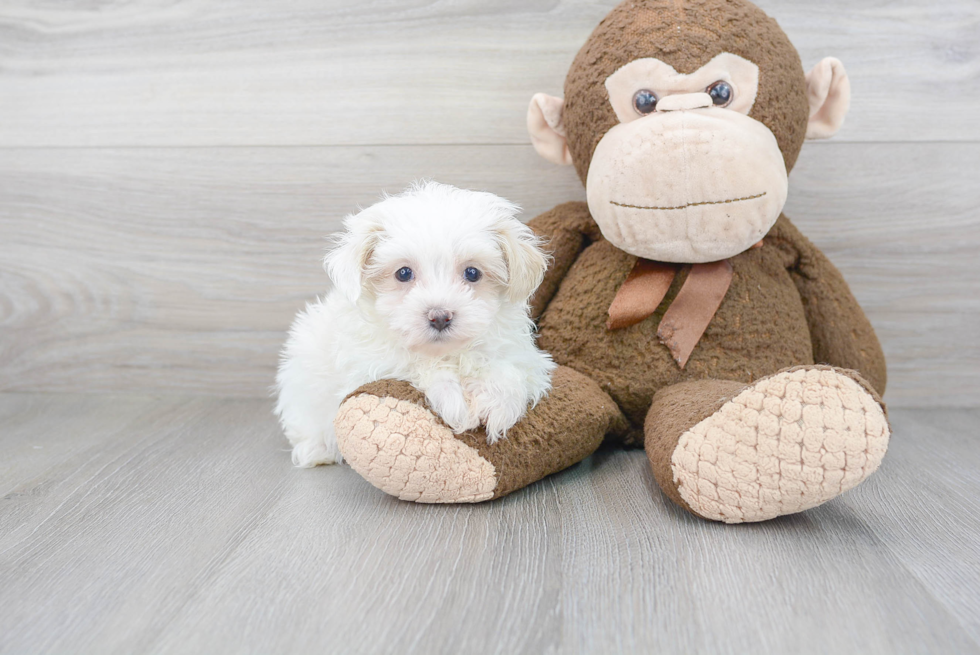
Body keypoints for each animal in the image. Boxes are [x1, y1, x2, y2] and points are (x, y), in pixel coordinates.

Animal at [274, 181, 560, 466]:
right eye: (403, 273)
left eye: (472, 273)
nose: (440, 316)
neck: (447, 352)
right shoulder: (369, 365)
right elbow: (416, 365)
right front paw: (454, 400)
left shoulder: (524, 357)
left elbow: (510, 369)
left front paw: (498, 403)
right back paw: (316, 449)